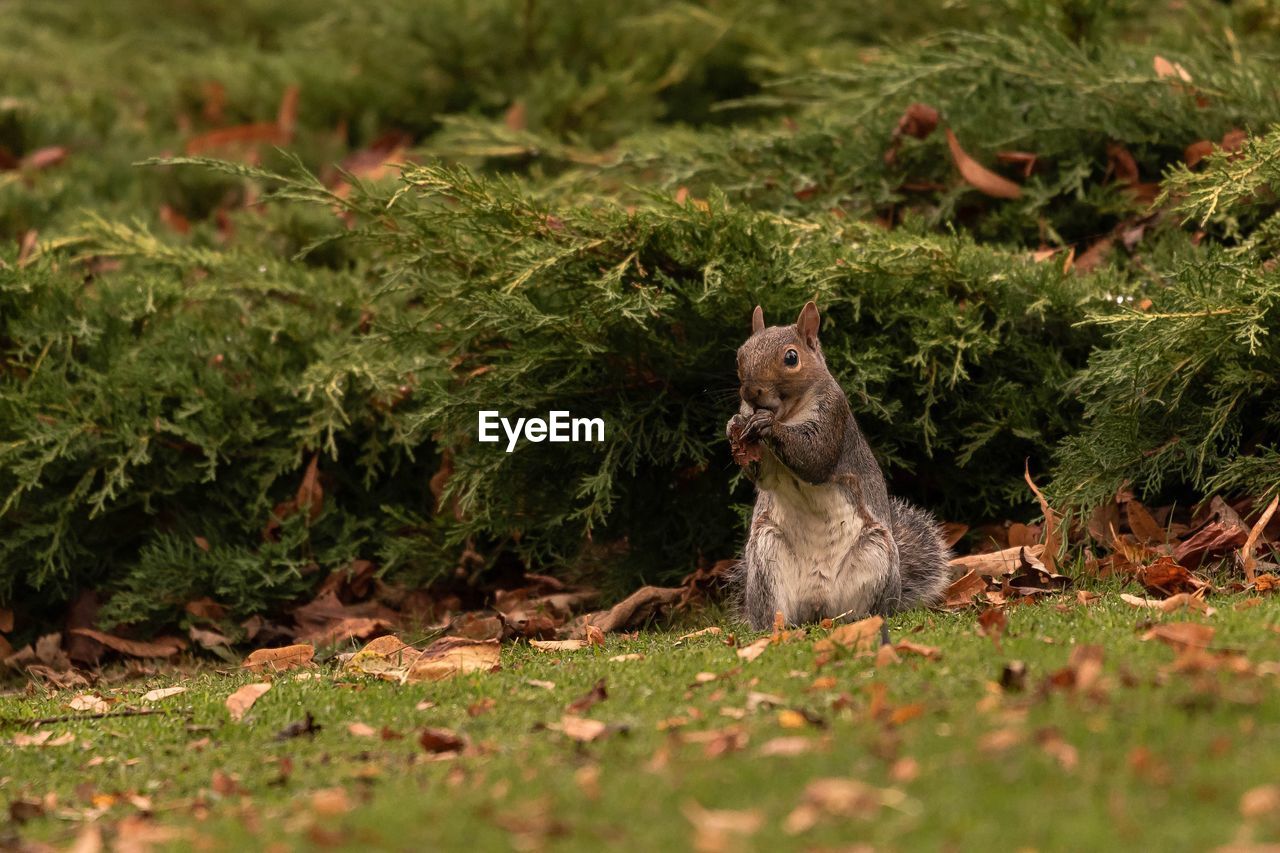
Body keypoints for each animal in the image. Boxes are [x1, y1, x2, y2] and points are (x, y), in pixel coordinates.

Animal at [727, 302, 957, 627]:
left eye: (791, 358)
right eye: (740, 355)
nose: (750, 393)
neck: (788, 413)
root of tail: (819, 610)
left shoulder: (833, 416)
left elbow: (816, 458)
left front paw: (768, 426)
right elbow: (765, 476)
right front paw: (733, 426)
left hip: (875, 553)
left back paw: (861, 621)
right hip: (766, 554)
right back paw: (778, 627)